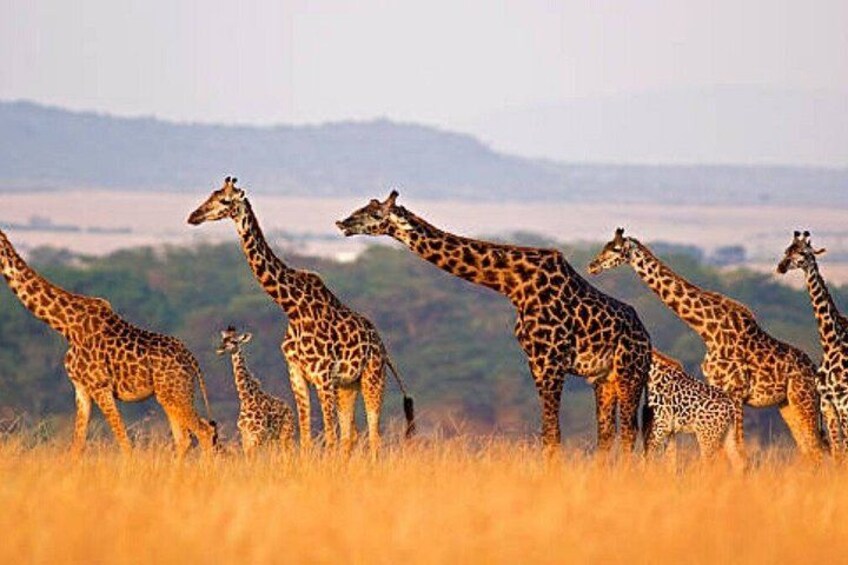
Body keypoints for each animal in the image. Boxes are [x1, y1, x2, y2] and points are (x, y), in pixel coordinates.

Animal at [0, 229, 217, 457]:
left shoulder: (100, 386)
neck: (66, 326)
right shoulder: (81, 389)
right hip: (171, 395)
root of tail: (192, 360)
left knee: (203, 431)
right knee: (185, 438)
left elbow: (123, 440)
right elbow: (77, 445)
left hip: (174, 393)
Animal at [216, 326, 295, 456]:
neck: (246, 399)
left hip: (287, 433)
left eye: (234, 341)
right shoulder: (245, 435)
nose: (220, 349)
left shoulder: (258, 434)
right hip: (274, 438)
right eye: (223, 339)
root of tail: (290, 409)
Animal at [336, 191, 652, 454]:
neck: (514, 284)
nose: (342, 223)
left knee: (628, 432)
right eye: (362, 207)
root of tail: (647, 340)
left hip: (630, 373)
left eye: (375, 214)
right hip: (604, 380)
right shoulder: (535, 362)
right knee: (607, 434)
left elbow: (552, 433)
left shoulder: (551, 361)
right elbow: (548, 432)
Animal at [588, 227, 824, 459]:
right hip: (787, 404)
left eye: (615, 249)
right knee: (809, 448)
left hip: (804, 400)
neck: (708, 330)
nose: (592, 265)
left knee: (817, 447)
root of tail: (814, 369)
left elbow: (738, 449)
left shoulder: (735, 390)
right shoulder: (718, 387)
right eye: (606, 246)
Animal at [777, 230, 848, 456]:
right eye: (787, 250)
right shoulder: (827, 403)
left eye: (804, 253)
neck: (830, 342)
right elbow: (838, 452)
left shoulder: (843, 400)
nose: (780, 267)